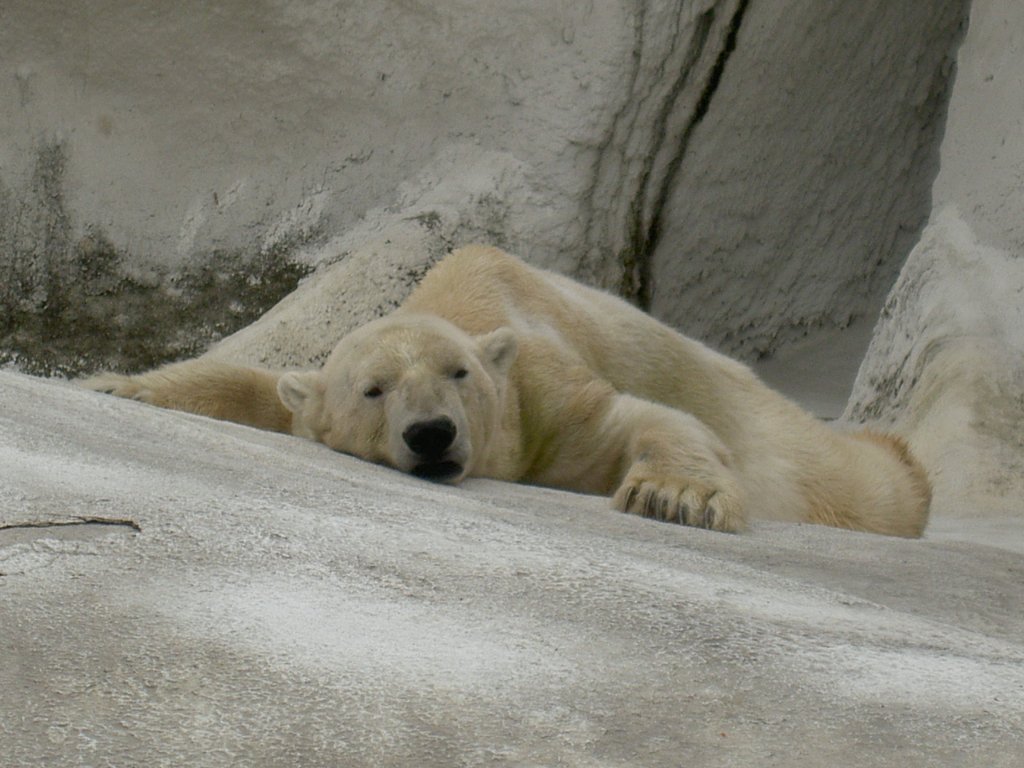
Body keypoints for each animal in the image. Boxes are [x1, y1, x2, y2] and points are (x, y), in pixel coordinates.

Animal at [77, 246, 929, 536]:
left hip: (775, 431)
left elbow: (643, 420)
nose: (432, 434)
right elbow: (264, 388)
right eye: (374, 390)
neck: (461, 301)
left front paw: (672, 497)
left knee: (851, 480)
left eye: (459, 375)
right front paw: (114, 382)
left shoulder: (547, 393)